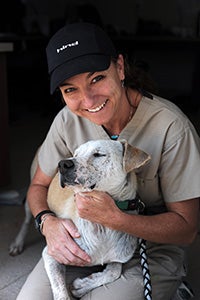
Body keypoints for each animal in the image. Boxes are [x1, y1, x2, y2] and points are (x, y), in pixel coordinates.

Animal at [42, 141, 150, 300]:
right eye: (76, 154)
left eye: (99, 154)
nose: (62, 164)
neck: (101, 227)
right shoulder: (52, 252)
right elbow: (60, 292)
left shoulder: (118, 257)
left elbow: (114, 272)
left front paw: (82, 285)